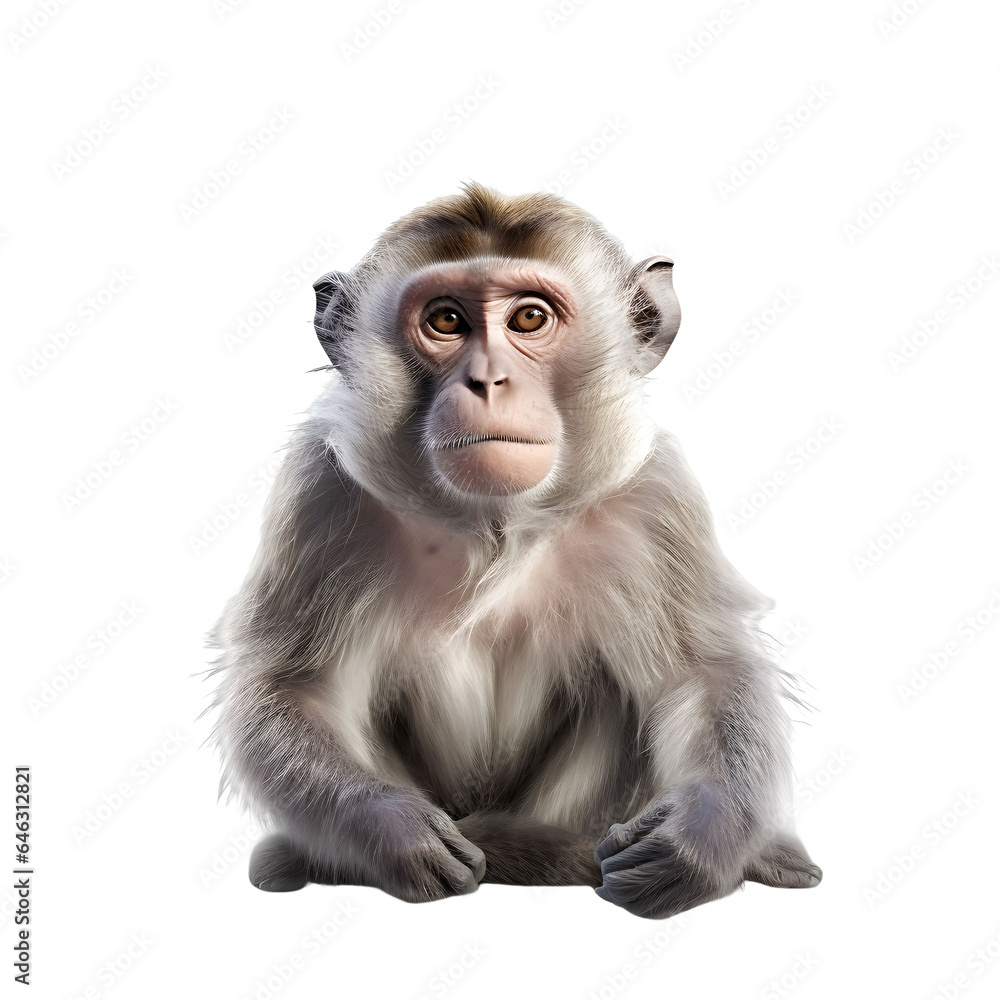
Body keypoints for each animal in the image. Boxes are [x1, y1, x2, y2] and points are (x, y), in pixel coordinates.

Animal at [209, 182, 822, 919]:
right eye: (446, 320)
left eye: (530, 318)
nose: (488, 380)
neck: (493, 528)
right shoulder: (320, 492)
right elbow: (293, 687)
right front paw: (390, 829)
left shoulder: (658, 500)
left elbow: (704, 676)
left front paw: (700, 835)